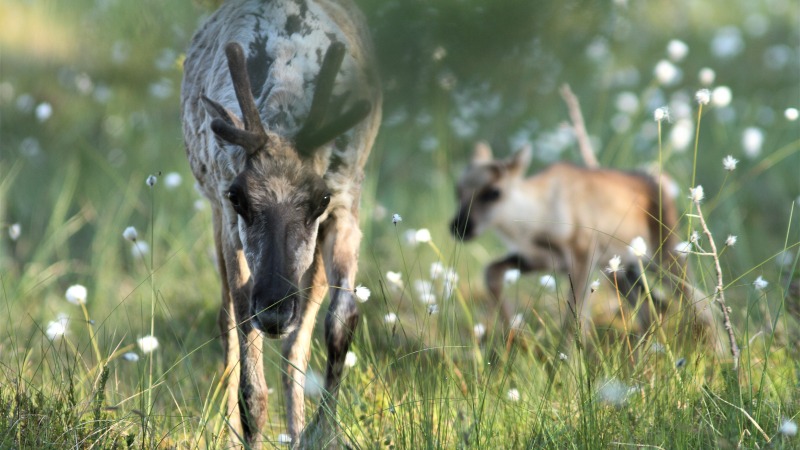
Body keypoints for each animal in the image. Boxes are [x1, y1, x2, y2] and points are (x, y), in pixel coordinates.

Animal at [181, 0, 382, 446]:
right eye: (239, 196)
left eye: (320, 198)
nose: (274, 310)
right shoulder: (227, 217)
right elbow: (250, 375)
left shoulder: (346, 201)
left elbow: (341, 320)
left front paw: (322, 431)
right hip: (215, 220)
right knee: (227, 326)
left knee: (297, 345)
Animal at [450, 142, 720, 354]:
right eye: (458, 190)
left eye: (494, 192)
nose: (459, 227)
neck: (536, 217)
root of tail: (665, 183)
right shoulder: (539, 259)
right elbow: (491, 272)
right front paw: (516, 335)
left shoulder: (582, 255)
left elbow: (574, 319)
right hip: (621, 271)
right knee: (653, 309)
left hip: (665, 255)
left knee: (701, 302)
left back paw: (720, 357)